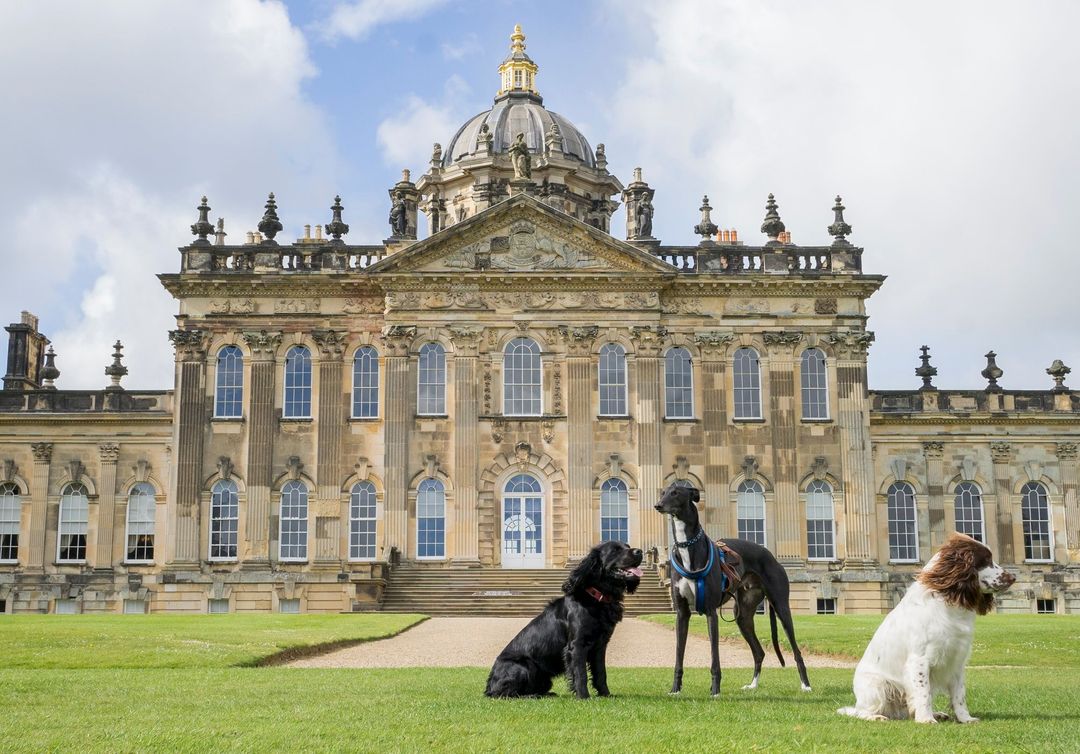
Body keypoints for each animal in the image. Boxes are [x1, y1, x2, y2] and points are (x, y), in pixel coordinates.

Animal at [488, 540, 643, 691]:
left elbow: (601, 674)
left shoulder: (600, 646)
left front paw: (606, 695)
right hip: (523, 666)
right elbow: (581, 675)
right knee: (505, 693)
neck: (598, 598)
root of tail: (489, 685)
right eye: (615, 550)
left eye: (627, 546)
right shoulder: (577, 645)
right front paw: (583, 697)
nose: (640, 551)